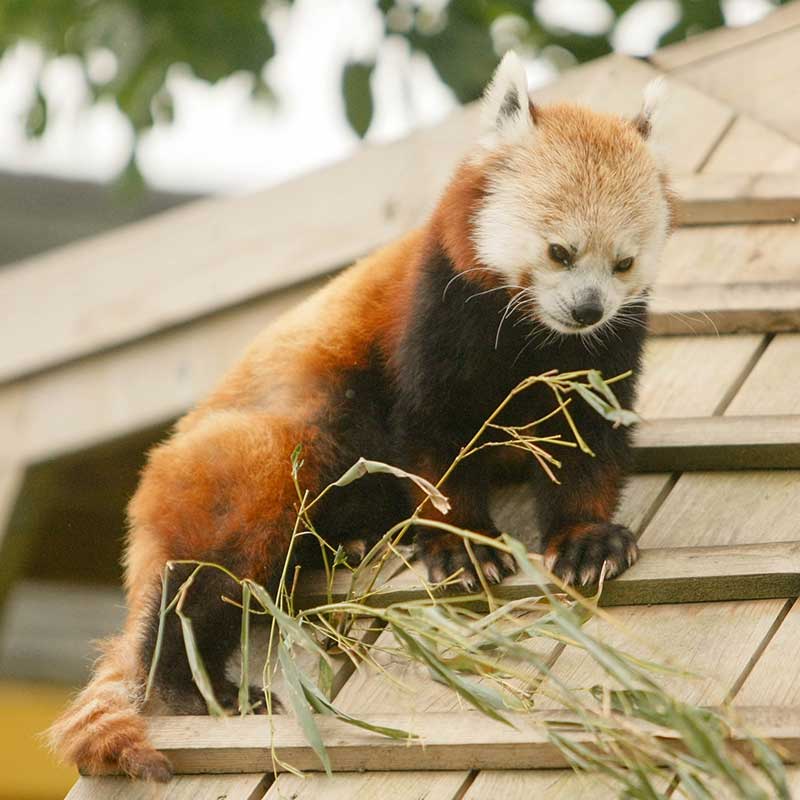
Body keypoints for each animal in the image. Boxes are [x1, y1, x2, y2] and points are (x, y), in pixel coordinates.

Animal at [48, 51, 676, 780]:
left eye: (623, 263)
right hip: (255, 447)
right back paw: (194, 685)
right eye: (560, 252)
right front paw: (463, 544)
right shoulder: (435, 314)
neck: (536, 339)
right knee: (224, 548)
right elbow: (432, 438)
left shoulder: (601, 356)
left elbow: (588, 443)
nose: (586, 308)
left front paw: (586, 538)